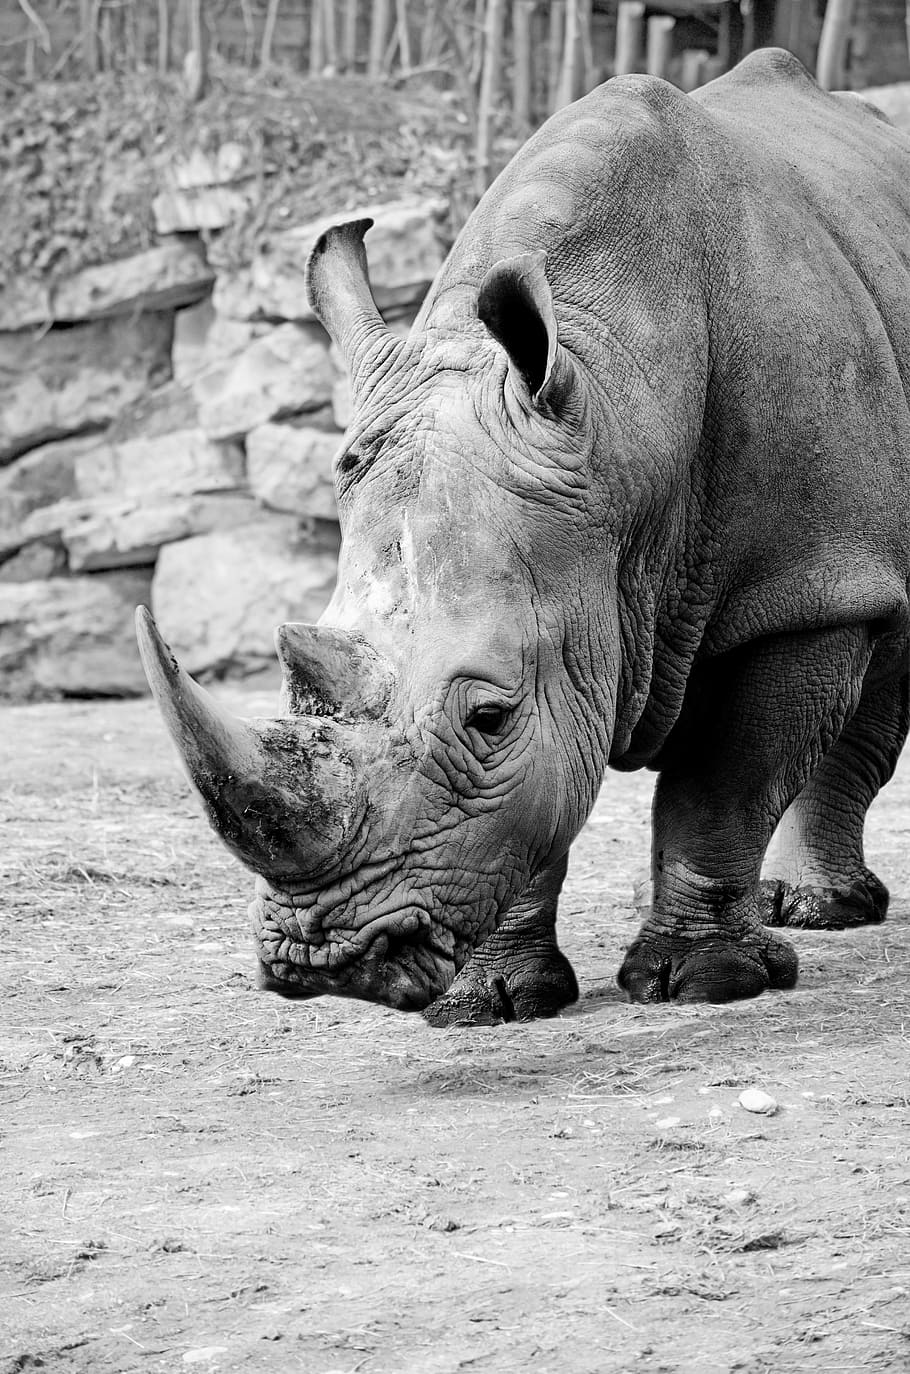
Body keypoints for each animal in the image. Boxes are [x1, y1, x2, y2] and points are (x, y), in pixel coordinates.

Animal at [138, 49, 910, 1025]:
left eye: (489, 716)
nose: (325, 961)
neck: (619, 427)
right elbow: (537, 807)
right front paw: (493, 998)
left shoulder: (807, 586)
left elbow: (724, 789)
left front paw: (704, 983)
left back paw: (821, 912)